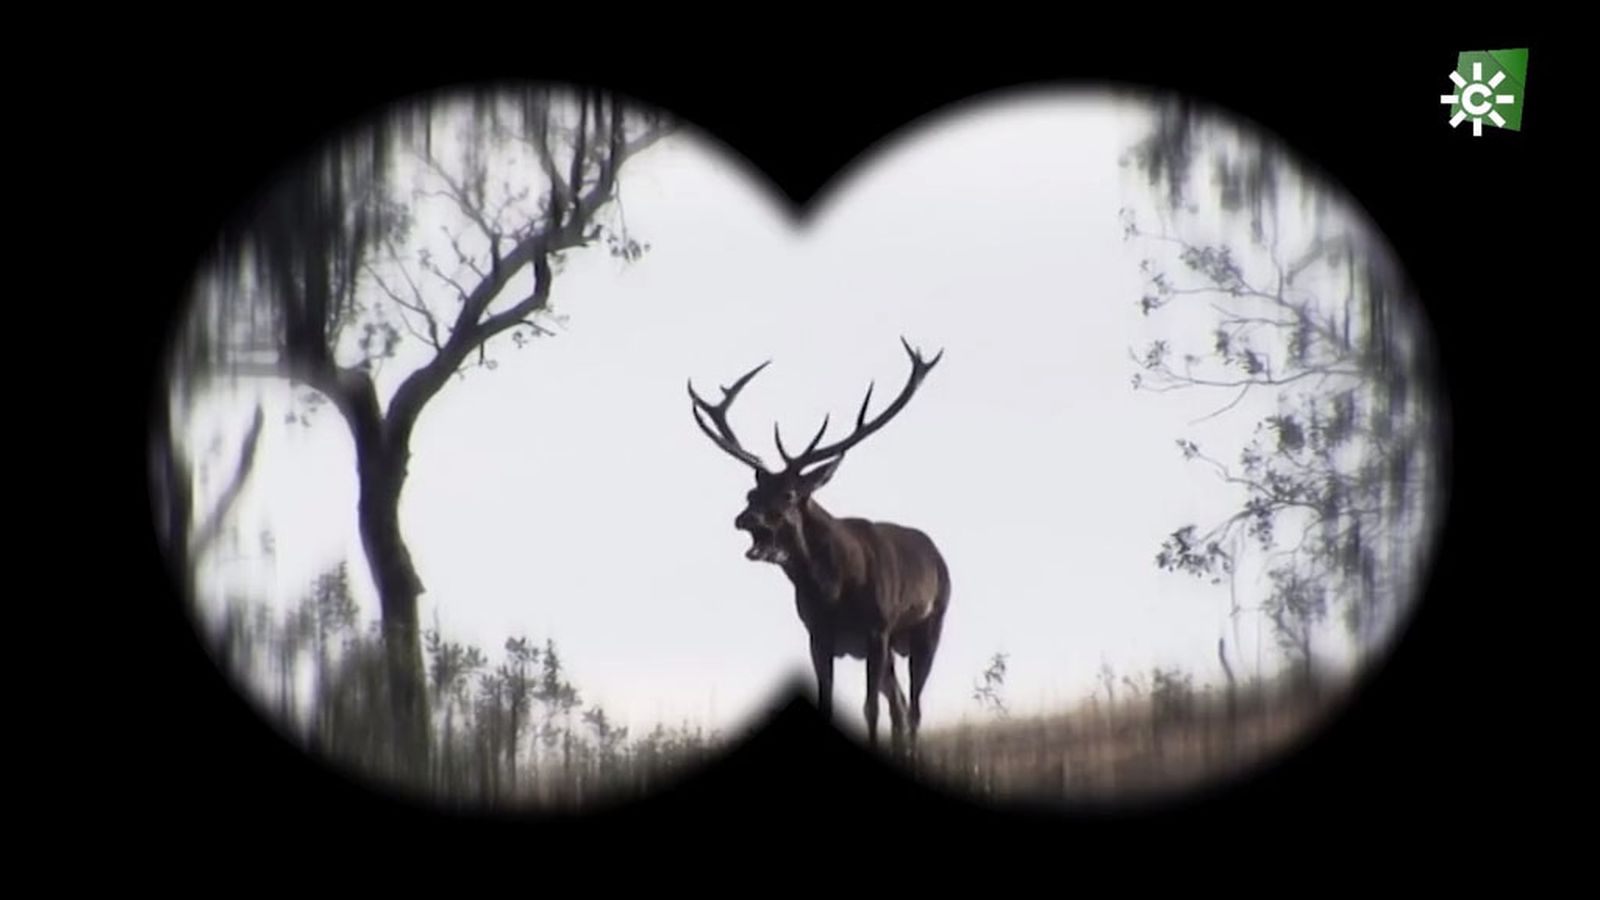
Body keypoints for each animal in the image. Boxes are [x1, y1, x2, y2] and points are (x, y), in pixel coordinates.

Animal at [688, 337, 950, 758]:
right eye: (751, 493)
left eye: (789, 494)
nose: (746, 519)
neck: (833, 590)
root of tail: (937, 555)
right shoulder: (817, 634)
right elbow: (829, 703)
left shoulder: (876, 629)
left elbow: (870, 709)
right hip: (891, 650)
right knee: (900, 705)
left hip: (927, 628)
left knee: (912, 709)